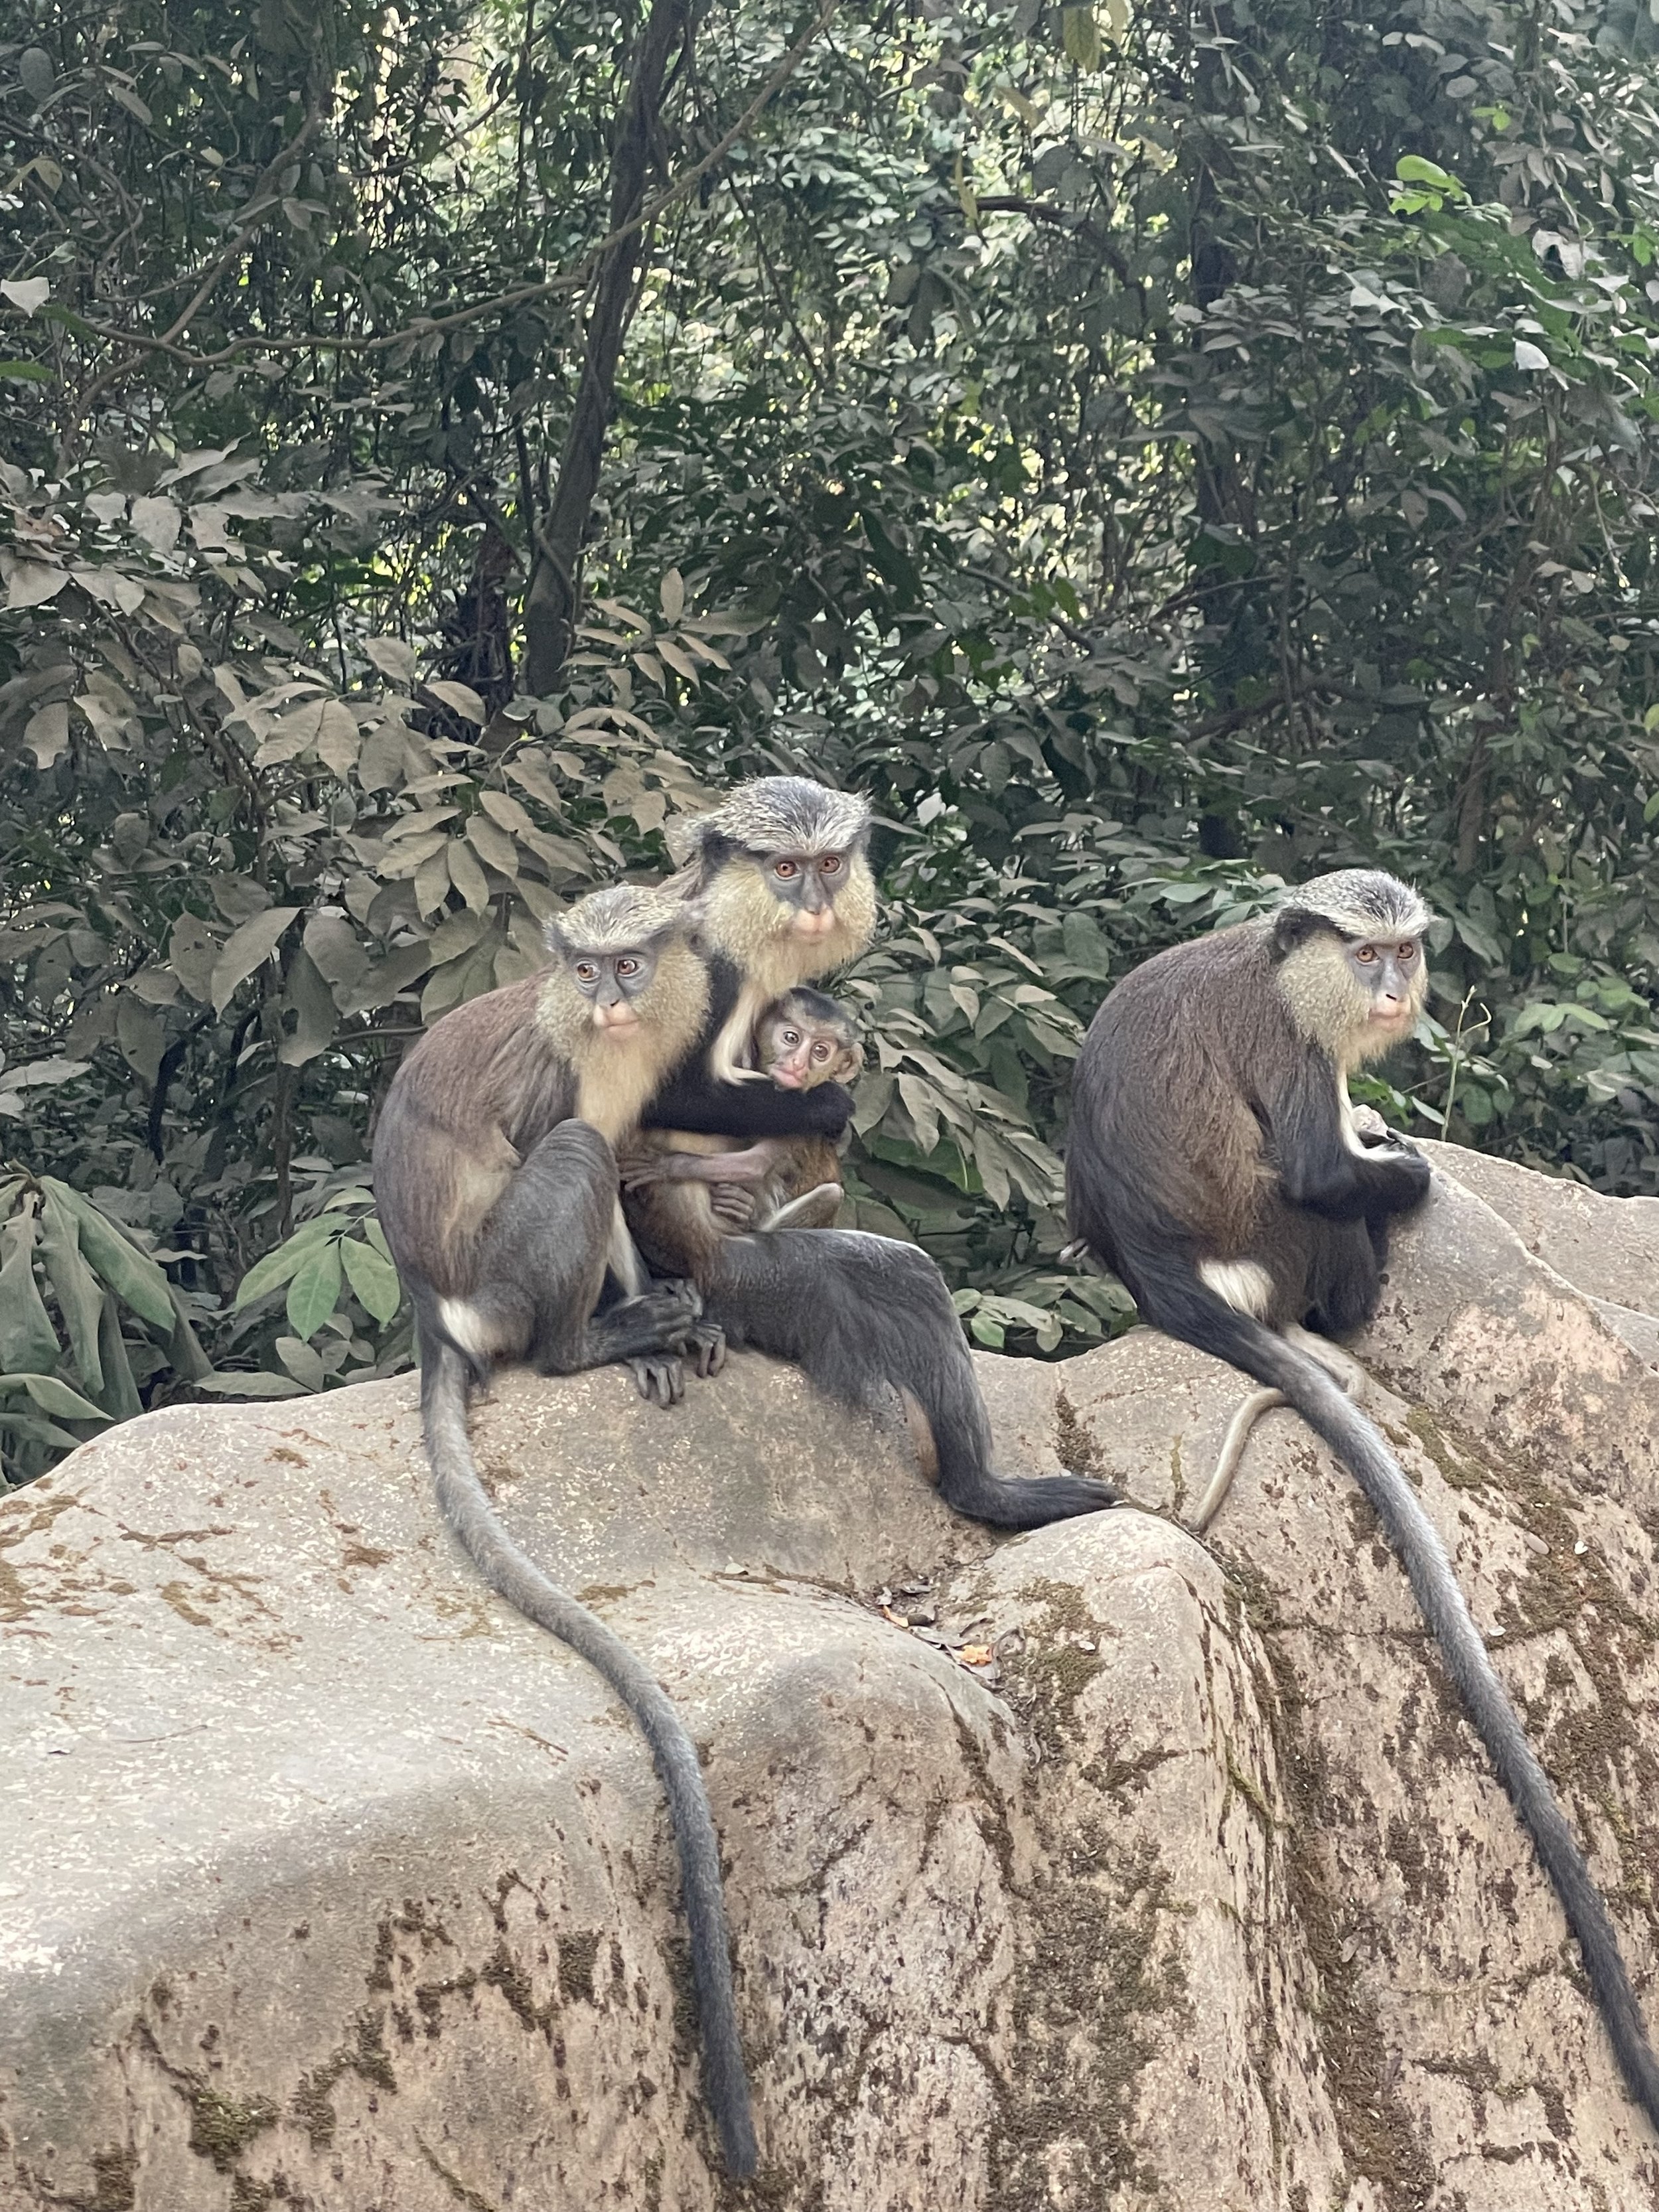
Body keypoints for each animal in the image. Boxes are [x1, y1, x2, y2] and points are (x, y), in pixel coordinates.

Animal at [372, 884, 758, 2178]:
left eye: (630, 961)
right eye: (583, 968)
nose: (608, 996)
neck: (608, 1043)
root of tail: (439, 1313)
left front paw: (686, 1316)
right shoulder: (562, 1078)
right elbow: (596, 1145)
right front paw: (639, 1327)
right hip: (506, 1278)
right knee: (578, 1168)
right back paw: (588, 1342)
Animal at [619, 987, 863, 1269]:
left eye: (820, 1052)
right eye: (791, 1038)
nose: (797, 1064)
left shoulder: (798, 1129)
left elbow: (754, 1164)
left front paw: (666, 1166)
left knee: (830, 1195)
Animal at [1063, 867, 1659, 2131]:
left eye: (1402, 950)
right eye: (1366, 952)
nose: (1390, 990)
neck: (1280, 958)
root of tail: (1164, 1275)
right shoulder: (1298, 1045)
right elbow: (1324, 1170)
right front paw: (1399, 1160)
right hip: (1279, 1245)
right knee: (1321, 1211)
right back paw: (1350, 1296)